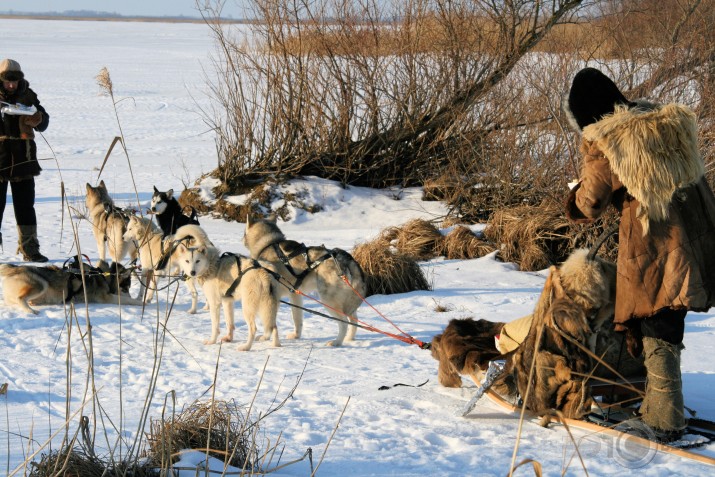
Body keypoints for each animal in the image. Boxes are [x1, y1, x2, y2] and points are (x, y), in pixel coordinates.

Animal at [0, 258, 144, 314]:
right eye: (126, 288)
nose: (129, 293)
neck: (103, 275)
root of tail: (13, 268)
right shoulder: (107, 297)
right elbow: (126, 300)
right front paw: (141, 303)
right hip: (41, 284)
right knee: (20, 298)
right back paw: (31, 310)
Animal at [246, 217, 370, 346]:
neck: (268, 244)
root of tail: (347, 259)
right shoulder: (295, 295)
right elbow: (297, 319)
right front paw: (296, 336)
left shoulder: (272, 297)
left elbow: (269, 322)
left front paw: (265, 337)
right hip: (346, 304)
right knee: (354, 321)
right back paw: (349, 339)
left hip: (329, 301)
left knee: (344, 322)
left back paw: (337, 342)